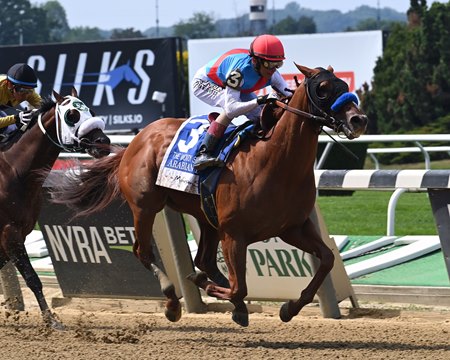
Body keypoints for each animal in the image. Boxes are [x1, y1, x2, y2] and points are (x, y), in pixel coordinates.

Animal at [0, 88, 110, 330]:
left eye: (92, 110)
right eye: (71, 115)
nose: (103, 142)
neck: (13, 171)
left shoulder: (18, 234)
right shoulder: (9, 233)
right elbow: (32, 278)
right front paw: (51, 320)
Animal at [49, 64, 368, 326]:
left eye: (343, 83)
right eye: (323, 88)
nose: (359, 120)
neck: (276, 160)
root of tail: (135, 141)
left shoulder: (293, 227)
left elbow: (326, 259)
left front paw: (290, 307)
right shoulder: (235, 235)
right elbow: (239, 286)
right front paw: (210, 288)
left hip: (205, 215)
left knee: (204, 260)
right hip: (145, 207)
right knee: (144, 251)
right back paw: (173, 301)